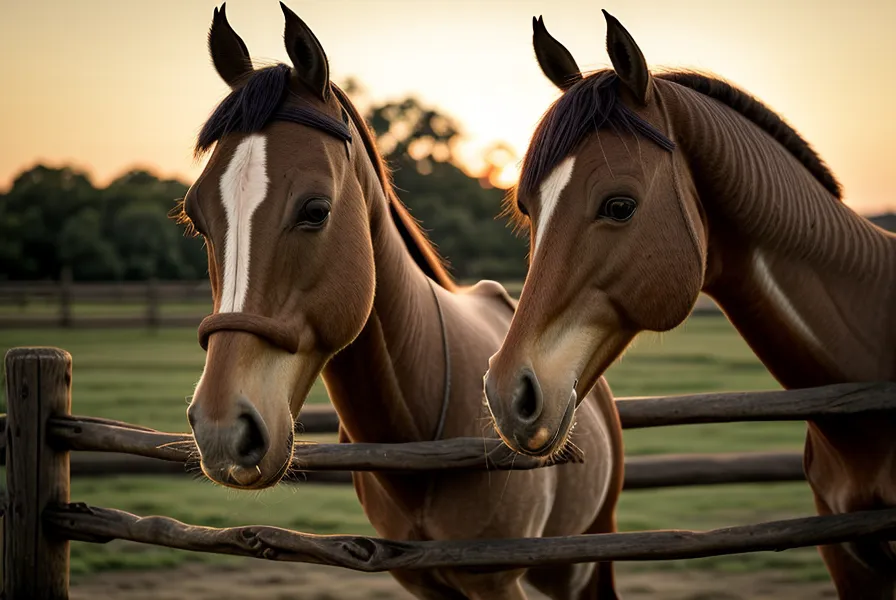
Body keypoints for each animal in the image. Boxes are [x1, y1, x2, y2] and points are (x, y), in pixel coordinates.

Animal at [178, 4, 624, 599]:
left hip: (580, 559)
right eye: (196, 218)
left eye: (315, 210)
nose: (222, 428)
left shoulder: (495, 580)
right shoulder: (425, 582)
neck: (419, 427)